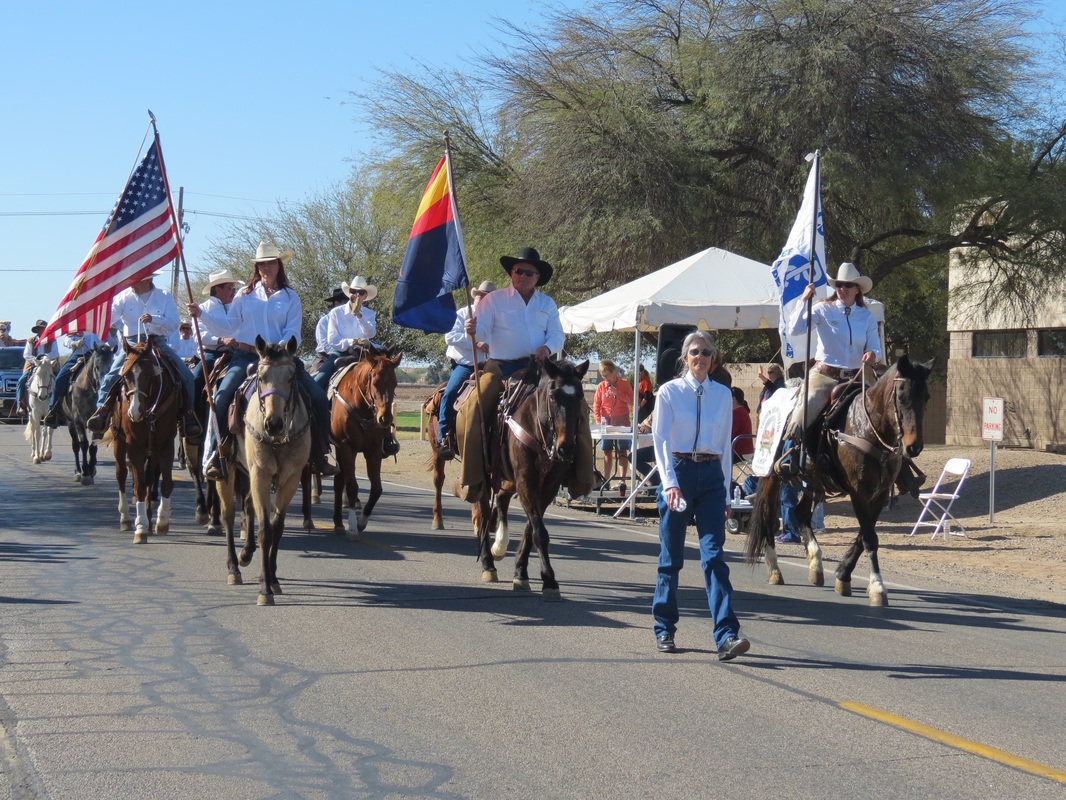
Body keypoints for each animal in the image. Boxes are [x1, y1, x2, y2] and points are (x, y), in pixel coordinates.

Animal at [62, 341, 113, 486]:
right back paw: (78, 471)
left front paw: (91, 469)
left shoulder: (99, 422)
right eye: (97, 366)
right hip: (70, 423)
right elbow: (84, 444)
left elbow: (93, 446)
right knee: (75, 446)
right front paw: (85, 473)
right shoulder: (78, 420)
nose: (104, 390)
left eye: (112, 366)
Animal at [108, 339, 179, 546]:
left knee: (150, 477)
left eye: (149, 375)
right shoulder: (134, 446)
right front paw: (140, 528)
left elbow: (166, 483)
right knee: (121, 475)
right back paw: (126, 519)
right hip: (119, 441)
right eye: (125, 376)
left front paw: (161, 522)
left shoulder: (166, 444)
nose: (134, 412)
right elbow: (139, 486)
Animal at [330, 345, 400, 539]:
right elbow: (352, 487)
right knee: (340, 481)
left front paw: (362, 521)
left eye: (395, 383)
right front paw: (353, 526)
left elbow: (376, 488)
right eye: (374, 381)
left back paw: (338, 522)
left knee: (339, 480)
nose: (385, 418)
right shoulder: (347, 448)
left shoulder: (373, 451)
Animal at [741, 356, 933, 605]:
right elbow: (869, 537)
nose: (914, 446)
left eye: (926, 397)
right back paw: (775, 570)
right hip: (772, 477)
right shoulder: (858, 492)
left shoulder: (879, 494)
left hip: (814, 482)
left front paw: (843, 574)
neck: (867, 429)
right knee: (767, 515)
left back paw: (816, 565)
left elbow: (863, 536)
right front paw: (877, 587)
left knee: (800, 513)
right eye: (900, 395)